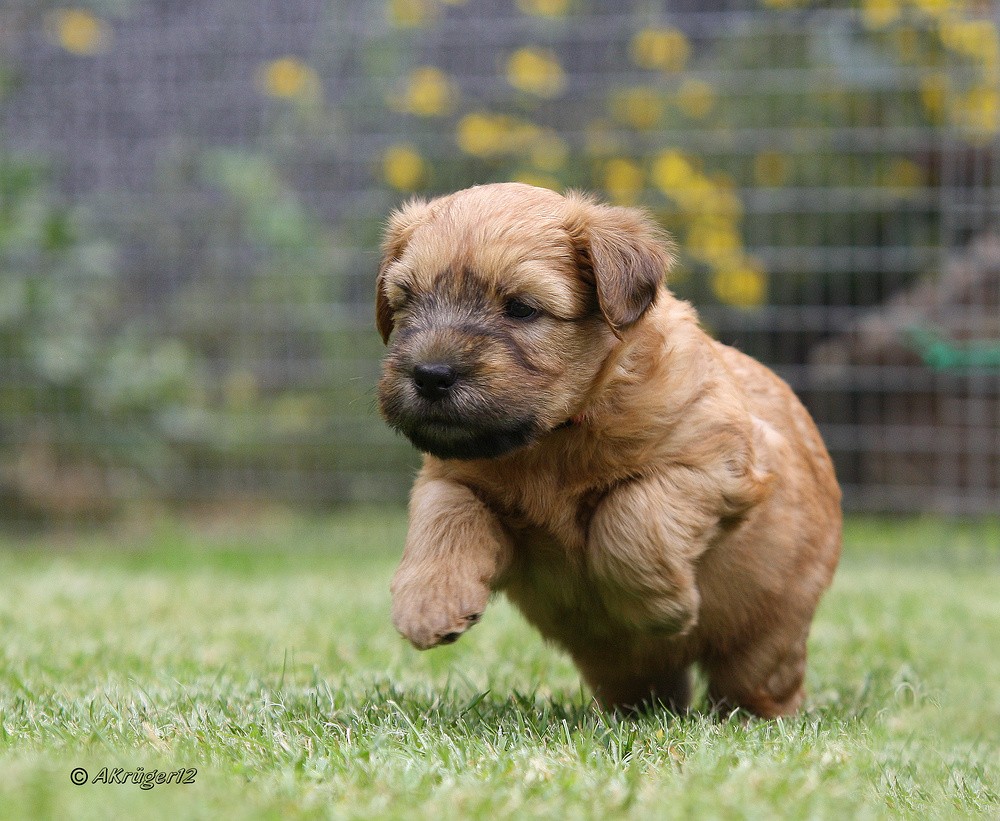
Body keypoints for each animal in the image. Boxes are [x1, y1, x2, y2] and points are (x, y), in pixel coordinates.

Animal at [372, 183, 840, 716]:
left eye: (521, 308)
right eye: (407, 300)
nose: (430, 375)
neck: (556, 436)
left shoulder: (715, 462)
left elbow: (631, 514)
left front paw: (661, 607)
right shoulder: (452, 472)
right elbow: (444, 516)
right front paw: (429, 603)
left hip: (768, 634)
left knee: (756, 682)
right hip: (618, 667)